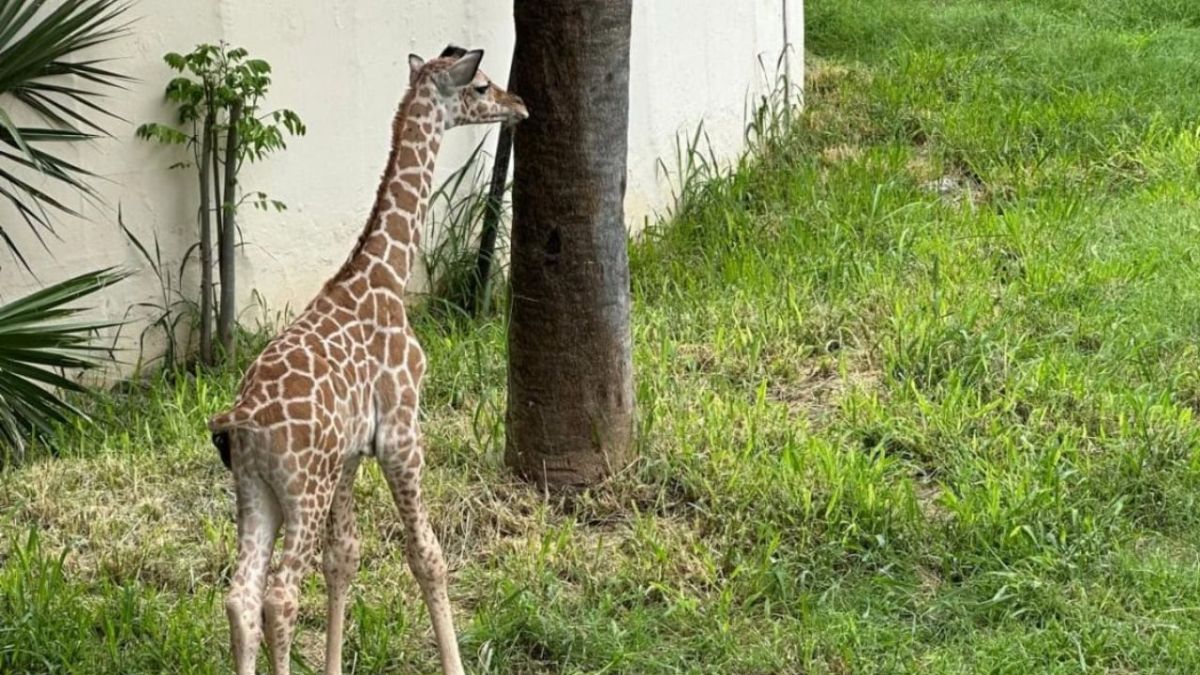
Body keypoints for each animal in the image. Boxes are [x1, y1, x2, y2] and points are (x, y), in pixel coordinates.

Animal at [208, 47, 528, 672]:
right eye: (481, 86)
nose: (520, 105)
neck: (385, 274)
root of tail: (243, 425)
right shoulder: (402, 431)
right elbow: (426, 553)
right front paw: (454, 663)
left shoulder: (351, 455)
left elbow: (344, 559)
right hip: (300, 491)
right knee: (280, 594)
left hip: (256, 494)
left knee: (242, 595)